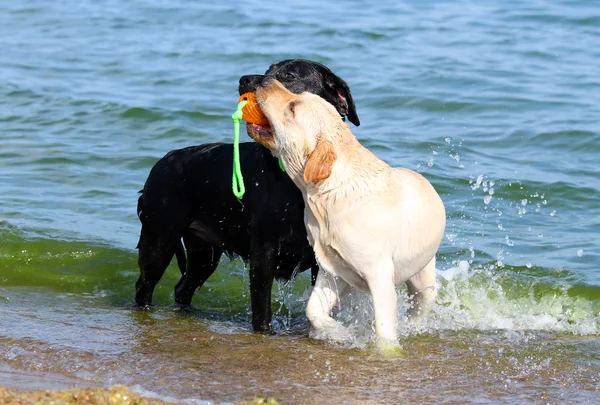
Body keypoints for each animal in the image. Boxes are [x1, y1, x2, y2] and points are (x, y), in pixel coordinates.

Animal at [136, 60, 358, 332]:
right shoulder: (263, 251)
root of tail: (158, 166)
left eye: (289, 76)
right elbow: (262, 310)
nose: (244, 80)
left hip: (203, 251)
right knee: (145, 284)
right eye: (268, 70)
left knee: (183, 287)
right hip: (159, 238)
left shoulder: (322, 260)